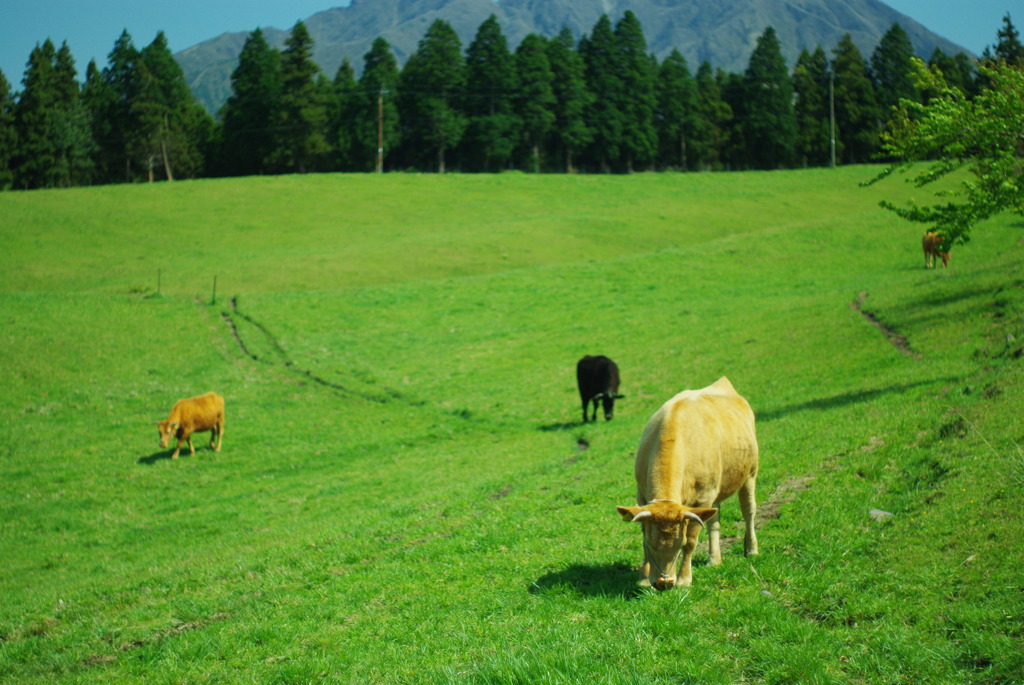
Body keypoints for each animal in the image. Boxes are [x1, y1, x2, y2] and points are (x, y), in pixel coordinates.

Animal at [610, 374, 757, 589]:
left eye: (678, 545)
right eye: (651, 545)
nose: (663, 583)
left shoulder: (701, 500)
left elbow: (692, 540)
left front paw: (684, 579)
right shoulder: (642, 495)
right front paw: (644, 579)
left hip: (750, 473)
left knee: (748, 510)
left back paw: (752, 549)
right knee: (714, 520)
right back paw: (714, 559)